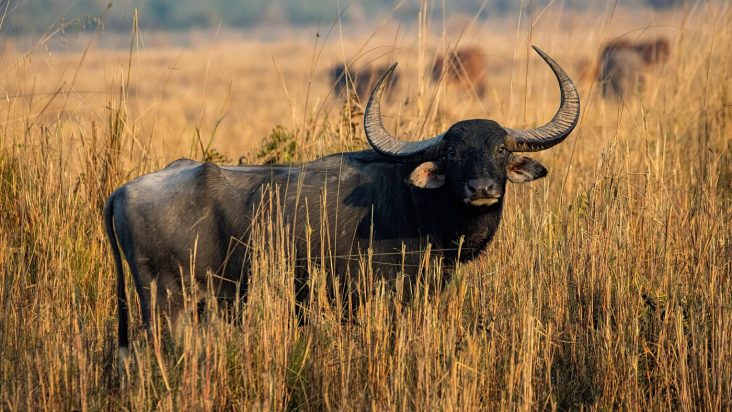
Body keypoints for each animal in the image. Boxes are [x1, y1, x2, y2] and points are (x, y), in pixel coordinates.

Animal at [105, 46, 579, 367]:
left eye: (499, 149)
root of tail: (122, 192)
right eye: (452, 153)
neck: (419, 205)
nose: (481, 188)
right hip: (166, 302)